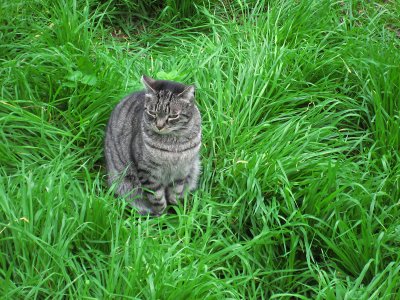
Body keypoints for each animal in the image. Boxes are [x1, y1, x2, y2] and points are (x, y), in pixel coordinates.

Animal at [104, 75, 202, 216]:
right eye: (152, 113)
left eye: (173, 116)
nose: (159, 126)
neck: (173, 145)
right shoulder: (148, 172)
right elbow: (157, 198)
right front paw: (163, 215)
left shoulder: (182, 170)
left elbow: (175, 193)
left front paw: (176, 210)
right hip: (124, 182)